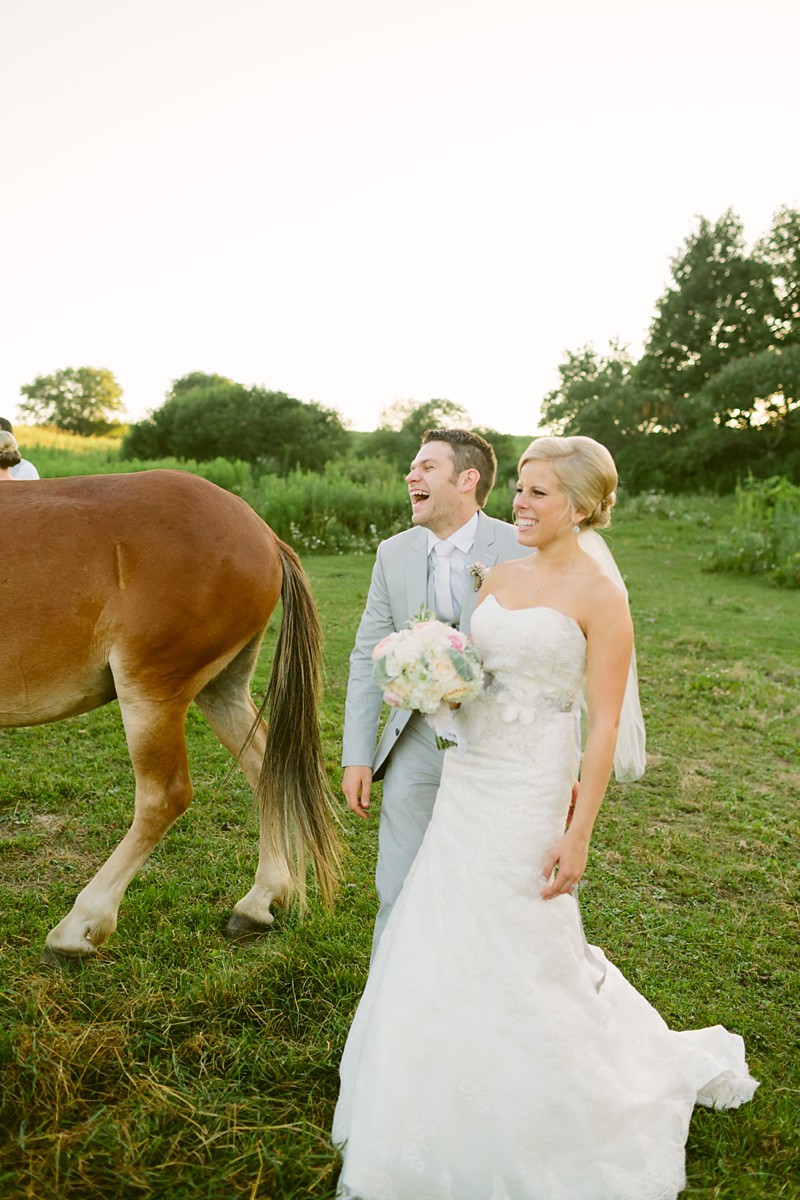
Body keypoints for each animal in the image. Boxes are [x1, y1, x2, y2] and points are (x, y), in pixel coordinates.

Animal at [0, 465, 340, 955]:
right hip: (221, 689)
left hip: (151, 691)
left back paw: (79, 927)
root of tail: (263, 532)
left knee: (165, 796)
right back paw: (257, 903)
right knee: (264, 767)